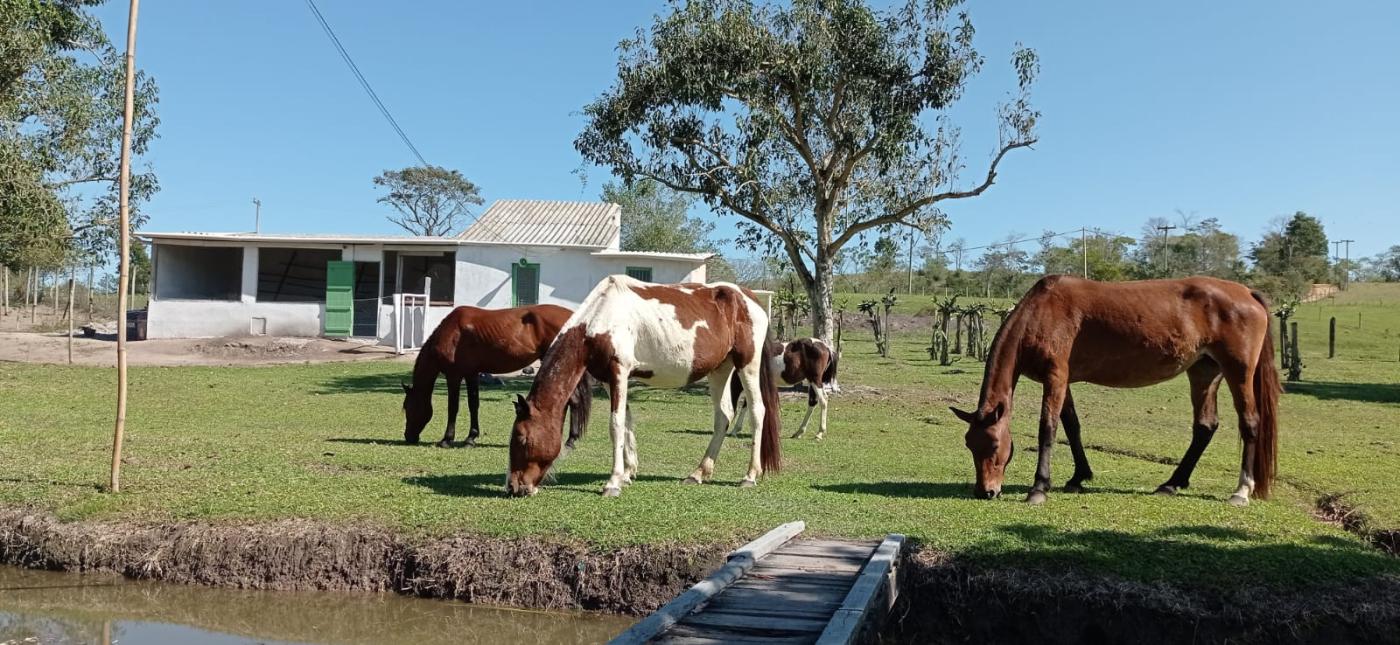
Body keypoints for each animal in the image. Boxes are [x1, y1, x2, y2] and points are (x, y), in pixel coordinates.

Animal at [403, 305, 593, 447]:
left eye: (406, 407)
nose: (408, 437)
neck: (452, 332)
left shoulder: (454, 375)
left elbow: (453, 407)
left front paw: (447, 439)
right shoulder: (471, 374)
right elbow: (473, 404)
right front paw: (470, 438)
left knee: (572, 400)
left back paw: (569, 440)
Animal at [506, 274, 789, 495]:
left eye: (521, 438)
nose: (514, 487)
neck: (601, 316)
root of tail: (748, 298)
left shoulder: (619, 372)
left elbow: (616, 424)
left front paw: (613, 483)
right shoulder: (609, 379)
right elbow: (627, 422)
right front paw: (627, 473)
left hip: (747, 365)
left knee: (757, 412)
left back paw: (749, 476)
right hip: (720, 370)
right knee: (723, 417)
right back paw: (698, 473)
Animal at [952, 274, 1282, 506]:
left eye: (995, 445)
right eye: (969, 444)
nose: (986, 491)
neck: (1042, 313)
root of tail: (1246, 293)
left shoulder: (1055, 377)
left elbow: (1048, 429)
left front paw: (1039, 488)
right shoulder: (1064, 381)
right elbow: (1072, 426)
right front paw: (1079, 477)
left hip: (1238, 372)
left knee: (1250, 423)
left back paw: (1241, 491)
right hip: (1204, 372)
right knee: (1205, 427)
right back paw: (1171, 484)